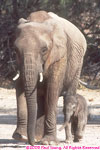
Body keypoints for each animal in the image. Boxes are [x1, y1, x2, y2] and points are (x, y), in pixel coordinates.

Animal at [12, 10, 86, 145]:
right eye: (16, 50)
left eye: (44, 50)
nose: (31, 143)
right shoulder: (19, 61)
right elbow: (19, 85)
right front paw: (20, 136)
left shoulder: (60, 54)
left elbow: (52, 90)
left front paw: (49, 142)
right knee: (41, 99)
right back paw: (38, 137)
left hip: (78, 63)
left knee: (68, 93)